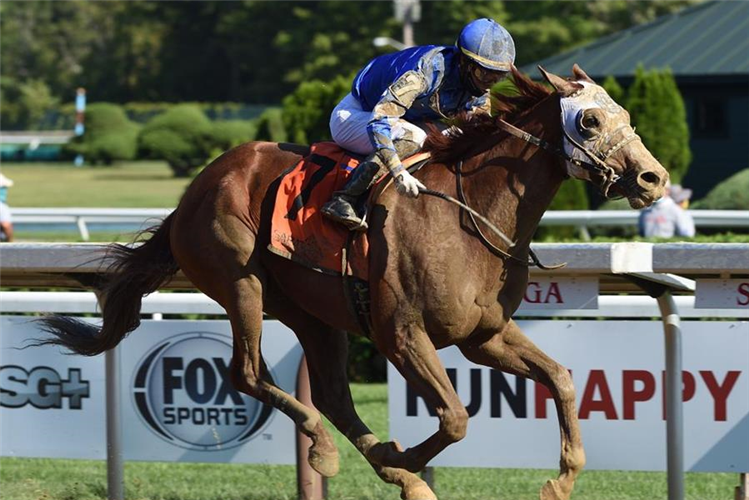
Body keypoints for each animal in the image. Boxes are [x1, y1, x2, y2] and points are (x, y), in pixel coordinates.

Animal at [39, 67, 668, 500]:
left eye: (627, 116)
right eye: (589, 120)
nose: (653, 178)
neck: (468, 214)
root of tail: (197, 187)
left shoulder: (482, 335)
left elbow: (560, 379)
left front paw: (559, 480)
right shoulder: (401, 334)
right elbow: (455, 417)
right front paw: (408, 458)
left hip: (313, 312)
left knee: (334, 396)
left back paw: (381, 466)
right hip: (240, 281)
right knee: (248, 373)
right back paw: (331, 452)